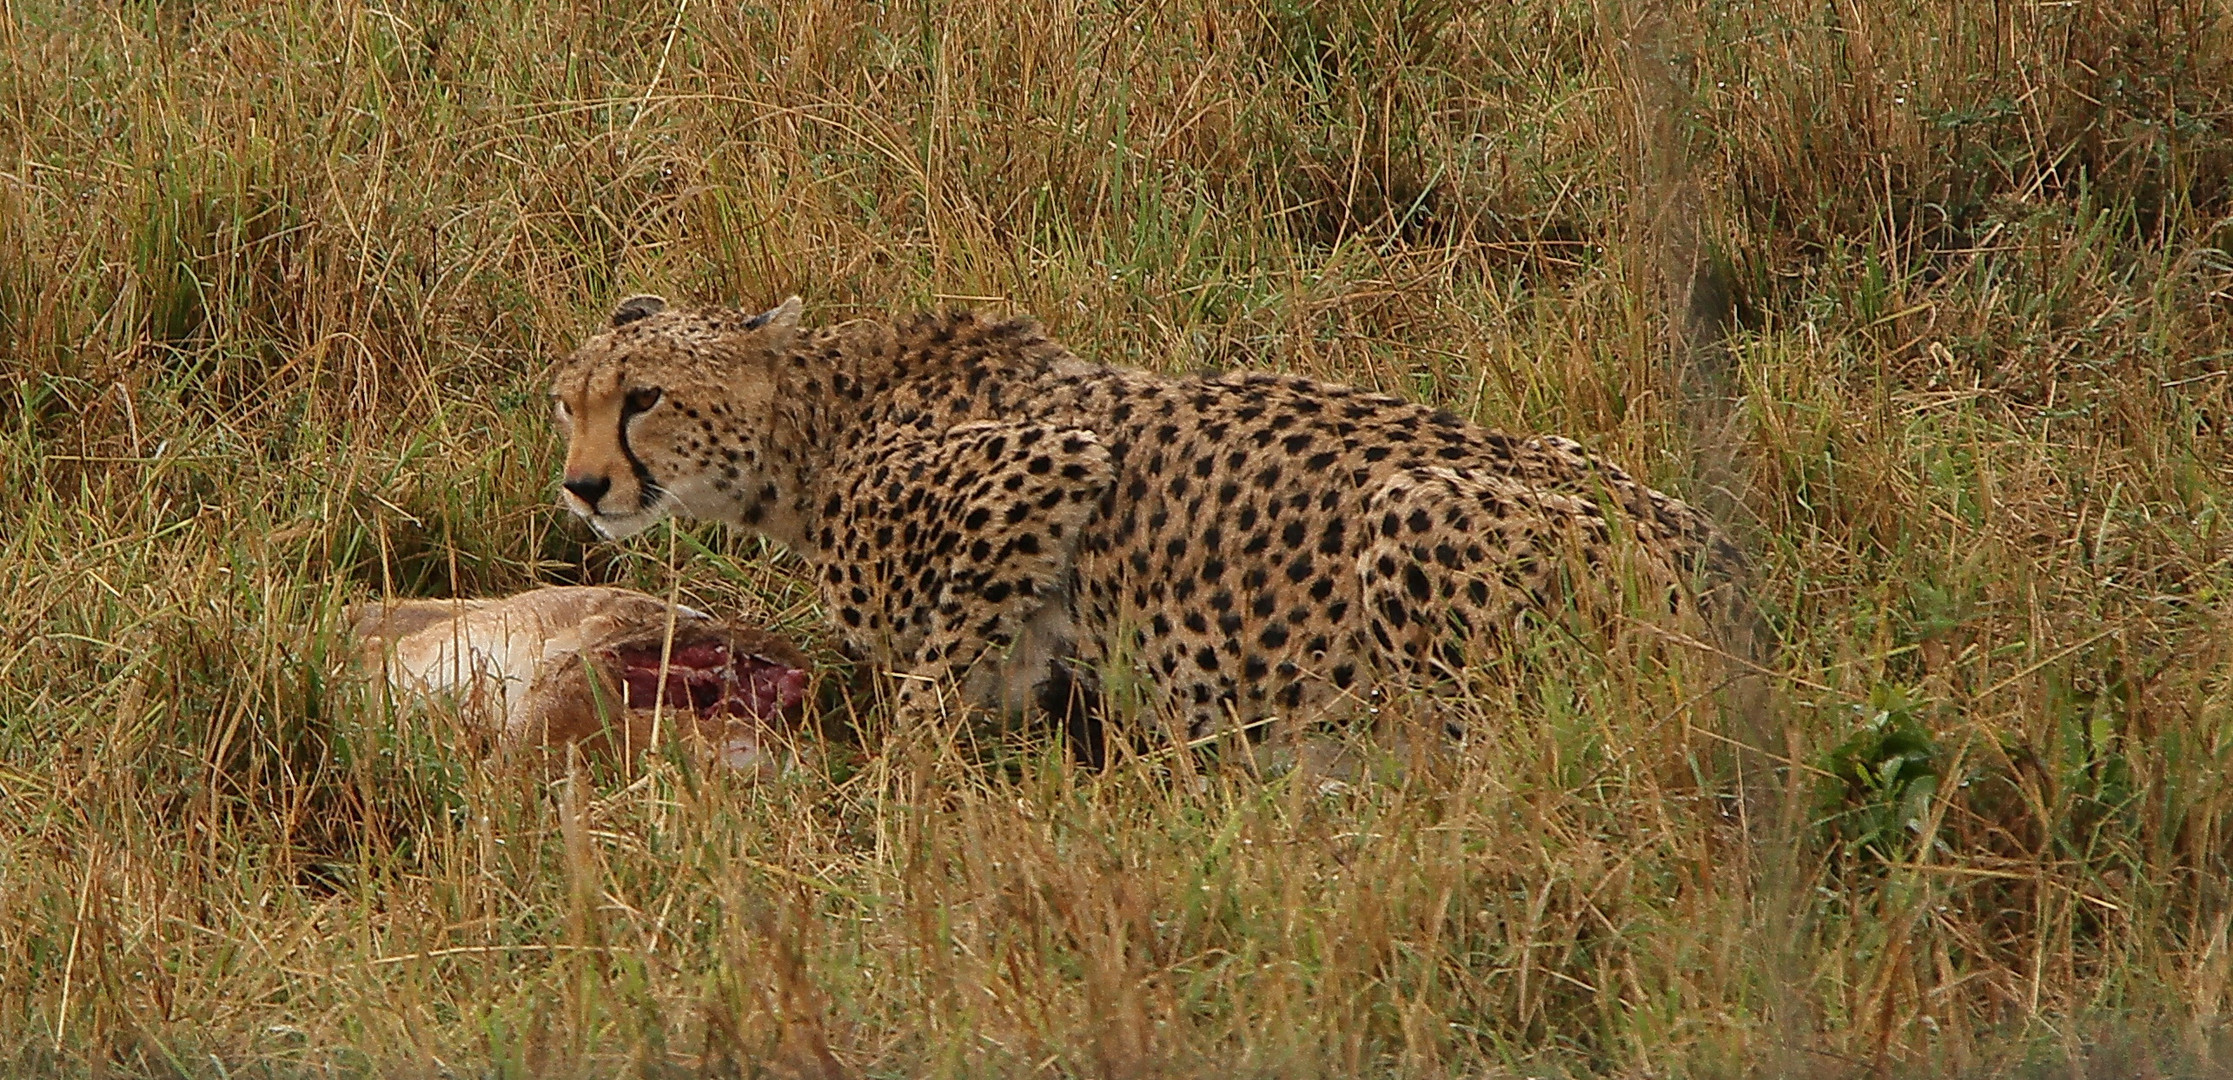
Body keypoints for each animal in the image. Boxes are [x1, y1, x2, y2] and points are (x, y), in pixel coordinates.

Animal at [553, 294, 1741, 763]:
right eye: (567, 403)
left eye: (644, 398)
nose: (581, 488)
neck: (814, 426)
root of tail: (1715, 561)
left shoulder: (1047, 465)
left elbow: (927, 702)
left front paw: (899, 794)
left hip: (1412, 511)